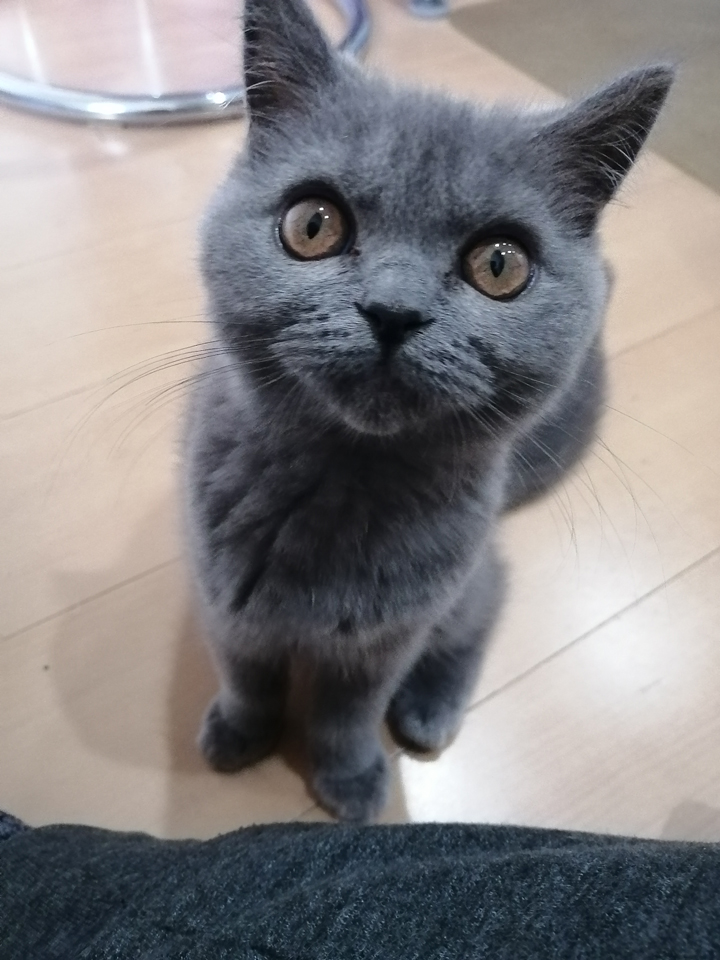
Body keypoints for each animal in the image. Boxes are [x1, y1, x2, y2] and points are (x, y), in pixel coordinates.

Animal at [183, 0, 672, 822]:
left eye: (500, 264)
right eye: (313, 224)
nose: (393, 311)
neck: (340, 493)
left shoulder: (383, 639)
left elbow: (346, 713)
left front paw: (349, 780)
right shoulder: (227, 604)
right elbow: (248, 678)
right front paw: (238, 737)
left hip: (462, 582)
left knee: (489, 597)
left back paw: (426, 711)